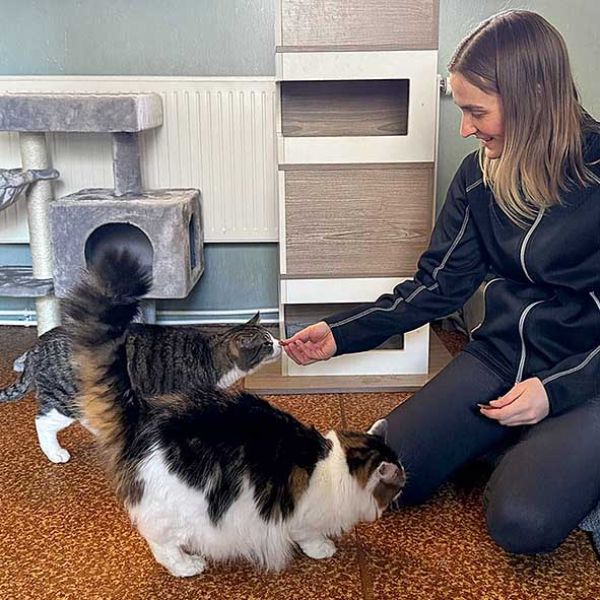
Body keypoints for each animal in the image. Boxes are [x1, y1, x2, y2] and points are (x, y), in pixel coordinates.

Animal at [0, 314, 280, 464]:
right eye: (267, 344)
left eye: (272, 339)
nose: (280, 343)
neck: (210, 355)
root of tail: (40, 344)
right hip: (66, 398)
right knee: (43, 421)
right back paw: (55, 452)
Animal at [62, 249, 405, 576]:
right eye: (397, 484)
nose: (402, 493)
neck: (337, 467)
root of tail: (142, 414)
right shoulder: (299, 516)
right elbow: (308, 535)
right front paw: (322, 548)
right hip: (176, 509)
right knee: (161, 544)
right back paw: (186, 566)